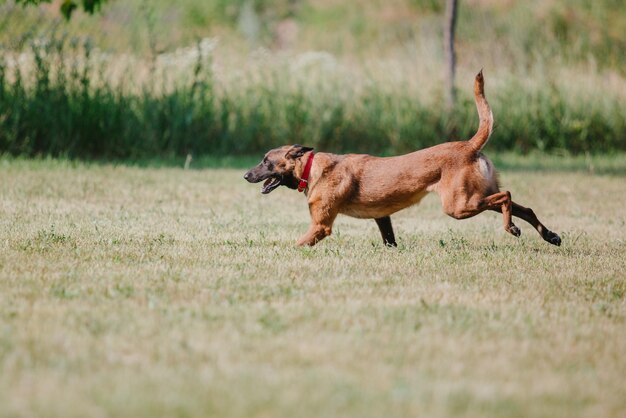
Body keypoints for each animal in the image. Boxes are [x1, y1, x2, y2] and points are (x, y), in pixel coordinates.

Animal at [243, 71, 560, 247]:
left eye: (266, 161)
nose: (245, 175)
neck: (311, 167)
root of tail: (469, 145)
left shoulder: (320, 226)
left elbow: (296, 245)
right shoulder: (382, 217)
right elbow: (390, 241)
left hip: (459, 204)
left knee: (507, 196)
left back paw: (512, 229)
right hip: (476, 195)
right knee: (525, 207)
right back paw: (550, 236)